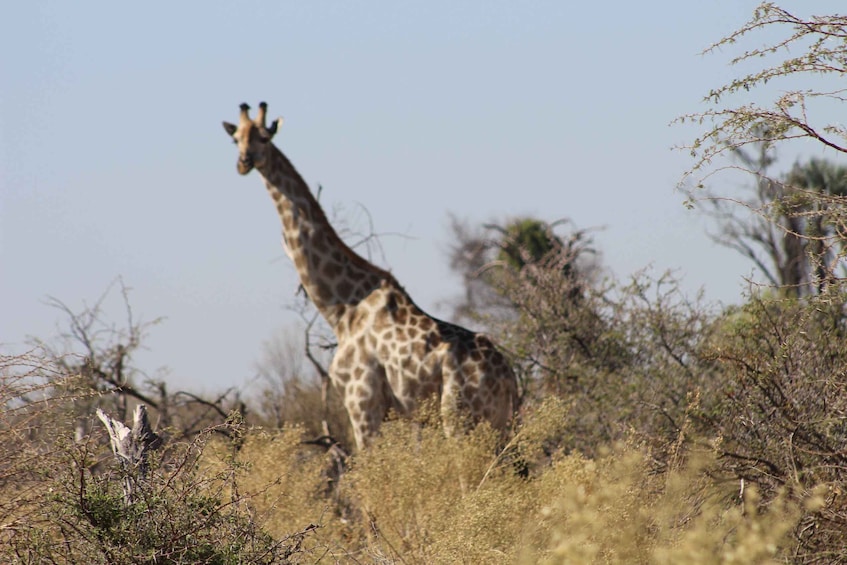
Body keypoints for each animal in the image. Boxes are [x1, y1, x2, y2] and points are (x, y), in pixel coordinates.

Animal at [223, 102, 517, 450]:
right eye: (236, 139)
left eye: (265, 138)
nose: (244, 162)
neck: (341, 309)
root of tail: (510, 377)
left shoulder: (362, 403)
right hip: (496, 423)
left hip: (460, 417)